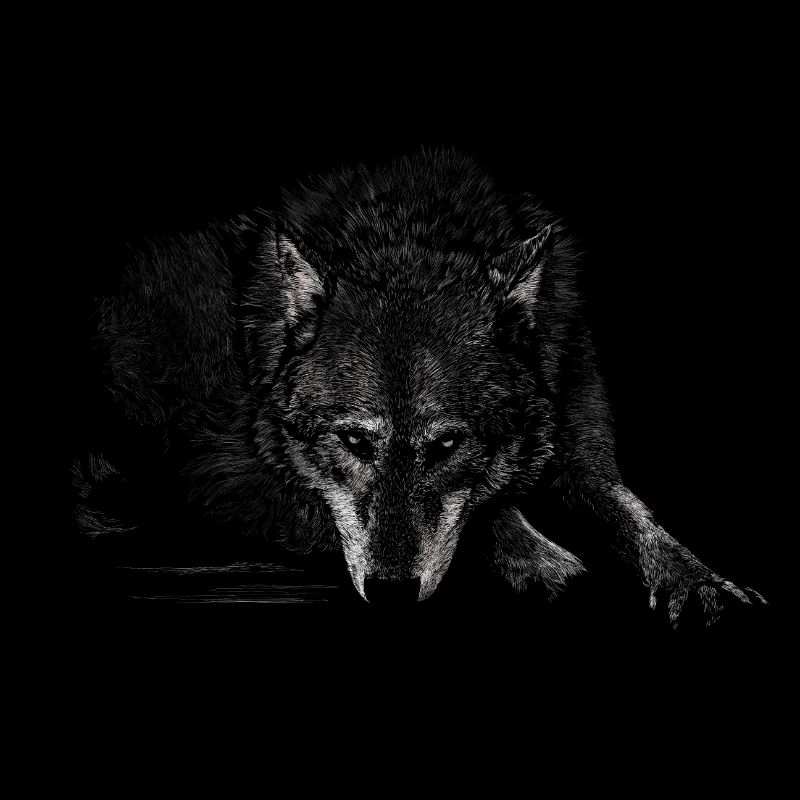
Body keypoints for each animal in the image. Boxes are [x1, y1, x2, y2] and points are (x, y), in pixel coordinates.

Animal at [74, 148, 765, 624]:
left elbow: (637, 516)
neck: (409, 238)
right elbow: (493, 512)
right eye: (354, 442)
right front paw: (547, 562)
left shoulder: (586, 462)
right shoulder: (227, 473)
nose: (390, 593)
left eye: (447, 446)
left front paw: (701, 580)